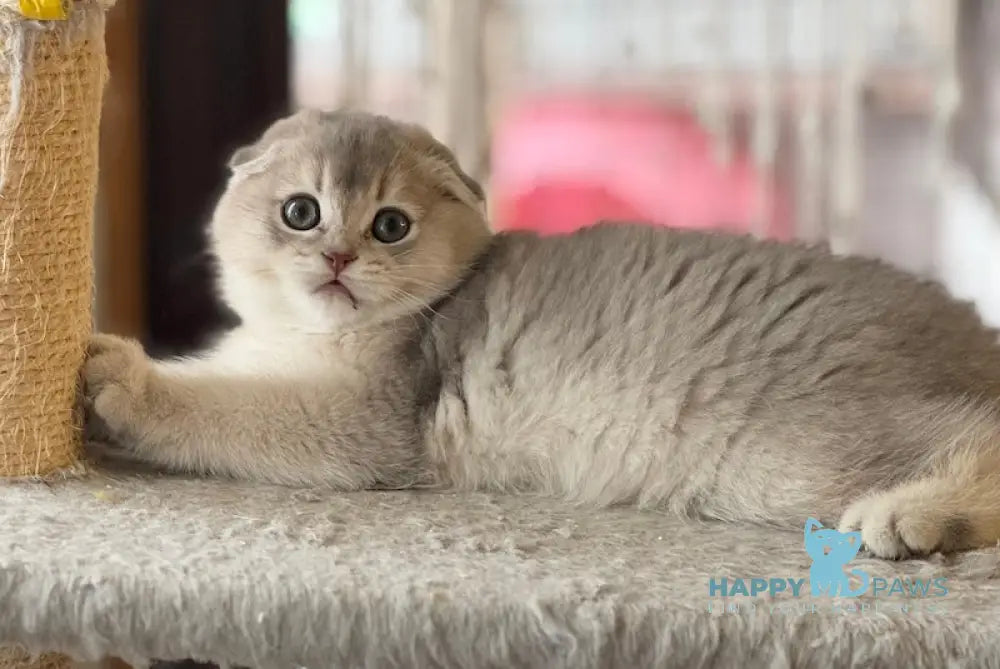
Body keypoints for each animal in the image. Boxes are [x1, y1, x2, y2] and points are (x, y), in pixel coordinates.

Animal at [82, 108, 1000, 560]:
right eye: (300, 212)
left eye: (390, 225)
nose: (339, 256)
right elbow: (218, 373)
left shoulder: (366, 421)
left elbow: (223, 407)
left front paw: (122, 379)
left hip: (797, 446)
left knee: (976, 433)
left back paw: (910, 516)